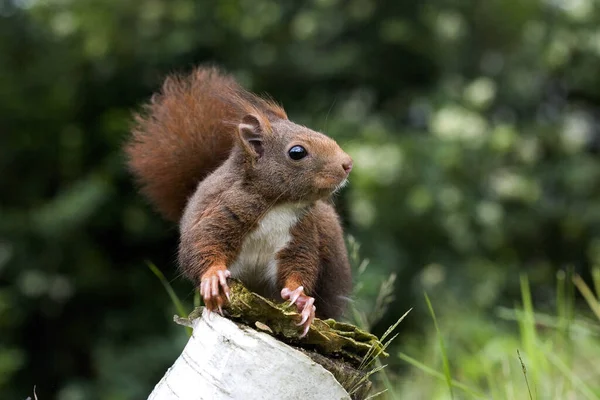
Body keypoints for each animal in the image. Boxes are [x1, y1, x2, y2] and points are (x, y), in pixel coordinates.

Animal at [125, 67, 354, 336]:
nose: (348, 163)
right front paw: (213, 278)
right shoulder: (222, 211)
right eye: (297, 152)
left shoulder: (302, 233)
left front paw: (302, 300)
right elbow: (202, 246)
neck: (279, 205)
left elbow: (300, 266)